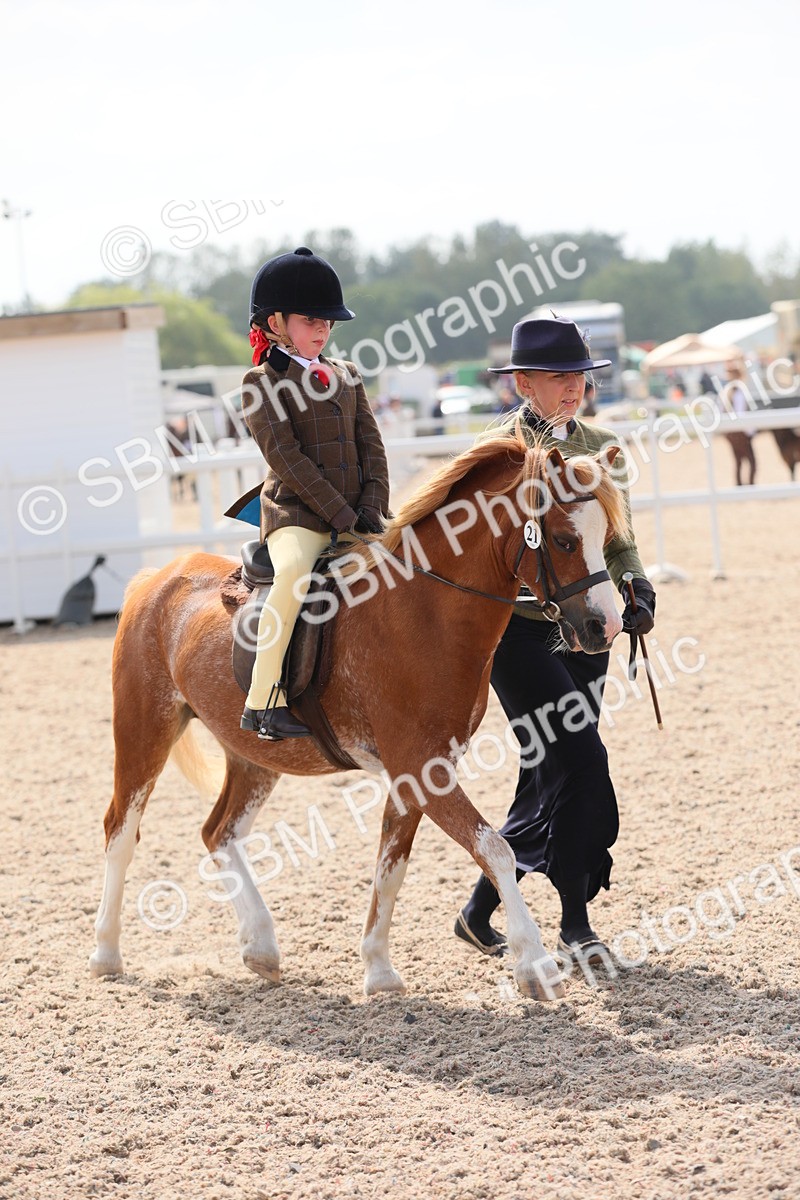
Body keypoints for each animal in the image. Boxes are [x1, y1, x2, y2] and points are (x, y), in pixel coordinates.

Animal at [89, 427, 627, 1001]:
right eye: (565, 540)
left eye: (605, 534)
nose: (606, 626)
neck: (423, 609)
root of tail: (157, 577)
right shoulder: (420, 767)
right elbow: (495, 849)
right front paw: (534, 965)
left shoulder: (418, 773)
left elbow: (392, 865)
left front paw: (379, 969)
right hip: (145, 728)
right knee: (121, 831)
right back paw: (106, 954)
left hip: (253, 755)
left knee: (219, 834)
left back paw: (260, 947)